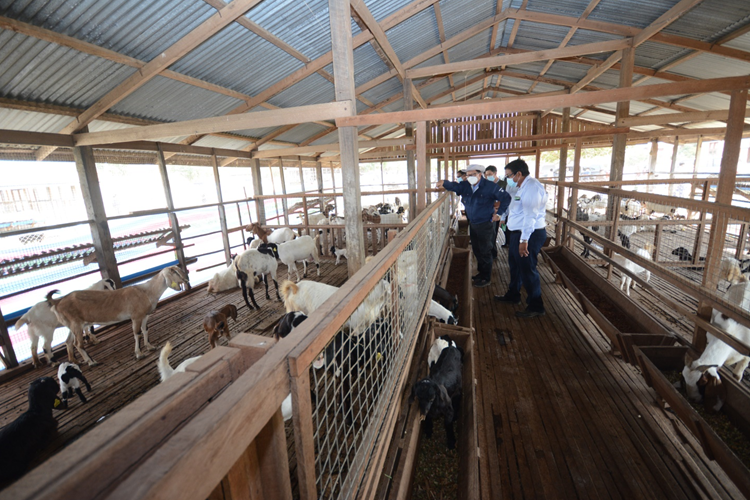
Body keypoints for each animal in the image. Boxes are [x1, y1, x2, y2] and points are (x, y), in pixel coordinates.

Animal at [47, 266, 189, 366]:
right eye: (175, 272)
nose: (186, 279)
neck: (146, 291)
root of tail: (57, 303)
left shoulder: (145, 315)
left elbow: (145, 330)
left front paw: (150, 347)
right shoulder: (136, 316)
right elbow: (137, 334)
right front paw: (139, 354)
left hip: (72, 325)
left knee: (68, 342)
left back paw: (76, 362)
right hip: (76, 324)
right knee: (77, 344)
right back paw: (91, 362)